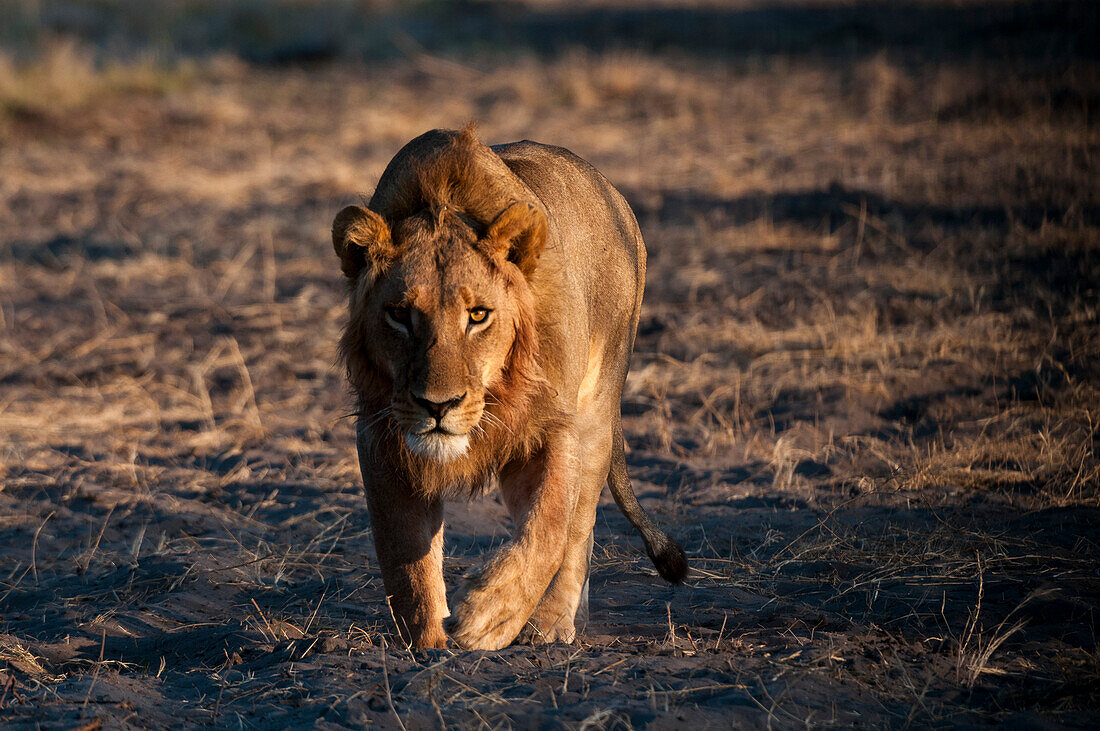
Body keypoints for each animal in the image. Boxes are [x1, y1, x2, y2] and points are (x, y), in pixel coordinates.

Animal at [332, 126, 686, 650]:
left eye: (478, 315)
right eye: (399, 314)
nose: (438, 405)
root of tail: (614, 194)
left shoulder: (554, 425)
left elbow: (551, 530)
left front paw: (489, 616)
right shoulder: (381, 433)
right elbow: (406, 557)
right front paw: (428, 640)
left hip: (599, 413)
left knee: (578, 529)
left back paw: (552, 625)